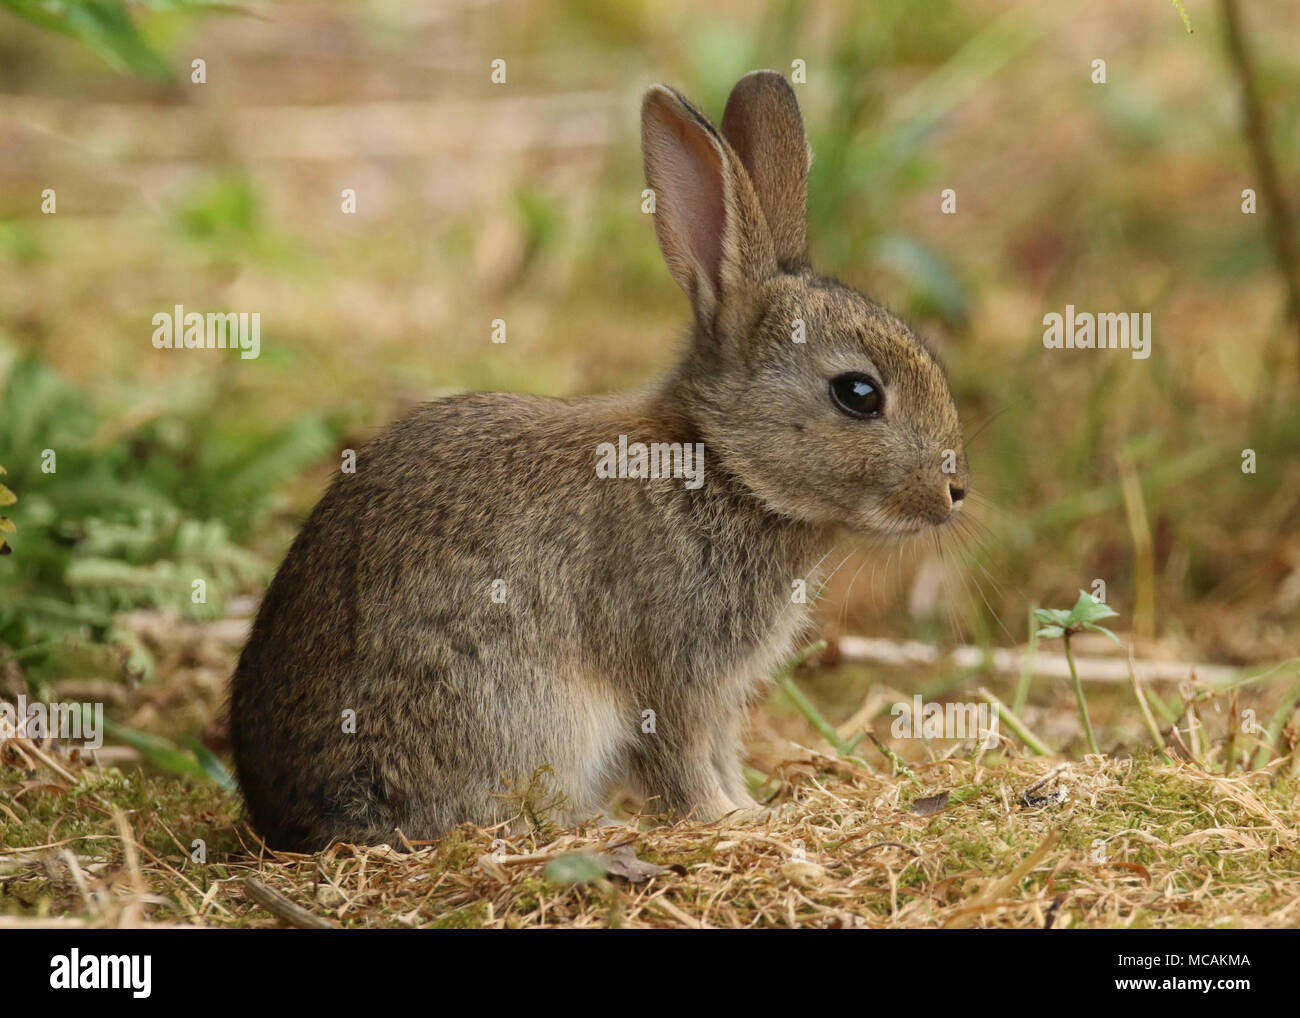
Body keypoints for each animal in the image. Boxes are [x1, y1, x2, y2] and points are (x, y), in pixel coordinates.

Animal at [231, 69, 967, 852]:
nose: (956, 490)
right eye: (858, 394)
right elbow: (682, 755)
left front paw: (752, 807)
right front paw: (729, 818)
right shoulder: (674, 672)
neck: (718, 464)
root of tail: (295, 819)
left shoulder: (717, 691)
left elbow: (720, 748)